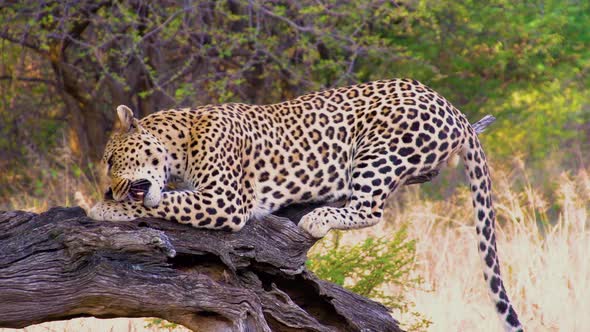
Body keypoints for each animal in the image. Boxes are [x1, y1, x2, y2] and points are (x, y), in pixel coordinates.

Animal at [90, 79, 524, 330]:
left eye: (110, 160)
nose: (109, 191)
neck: (181, 139)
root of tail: (453, 108)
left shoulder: (226, 200)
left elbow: (159, 203)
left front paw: (103, 209)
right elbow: (163, 199)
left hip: (378, 150)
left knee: (371, 209)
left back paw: (317, 218)